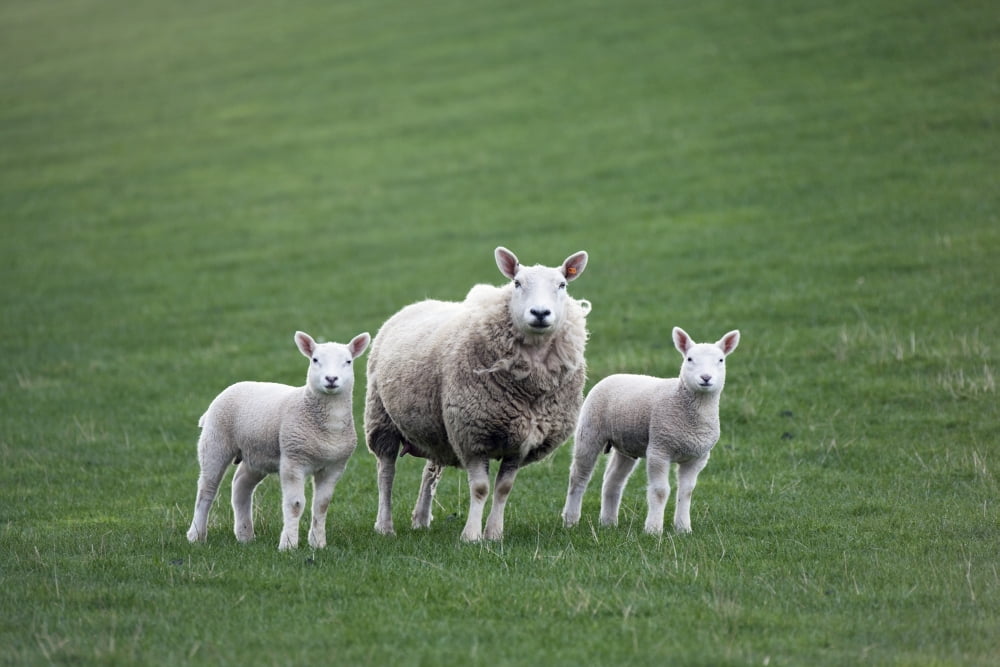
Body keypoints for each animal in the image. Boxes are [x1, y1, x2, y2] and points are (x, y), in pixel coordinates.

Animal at [186, 330, 371, 550]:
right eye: (315, 360)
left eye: (348, 361)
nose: (331, 379)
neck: (328, 429)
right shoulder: (293, 460)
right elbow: (295, 504)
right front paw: (288, 544)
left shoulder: (334, 466)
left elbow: (322, 505)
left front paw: (318, 543)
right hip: (216, 441)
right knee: (206, 490)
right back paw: (196, 535)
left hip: (256, 454)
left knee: (241, 485)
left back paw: (245, 535)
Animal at [364, 246, 590, 542]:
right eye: (517, 283)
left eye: (562, 285)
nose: (540, 313)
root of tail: (416, 304)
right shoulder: (472, 435)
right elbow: (481, 488)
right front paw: (471, 536)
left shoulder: (521, 442)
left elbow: (504, 488)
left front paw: (494, 533)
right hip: (381, 417)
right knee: (386, 473)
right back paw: (384, 526)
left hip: (437, 429)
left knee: (429, 472)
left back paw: (421, 519)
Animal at [561, 327, 740, 535]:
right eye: (689, 359)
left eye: (721, 360)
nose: (705, 378)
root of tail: (614, 375)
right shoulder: (659, 448)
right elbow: (660, 490)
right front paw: (654, 529)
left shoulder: (697, 457)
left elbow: (687, 491)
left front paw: (683, 528)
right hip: (589, 430)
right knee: (578, 477)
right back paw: (570, 520)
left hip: (625, 445)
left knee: (613, 480)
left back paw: (608, 522)